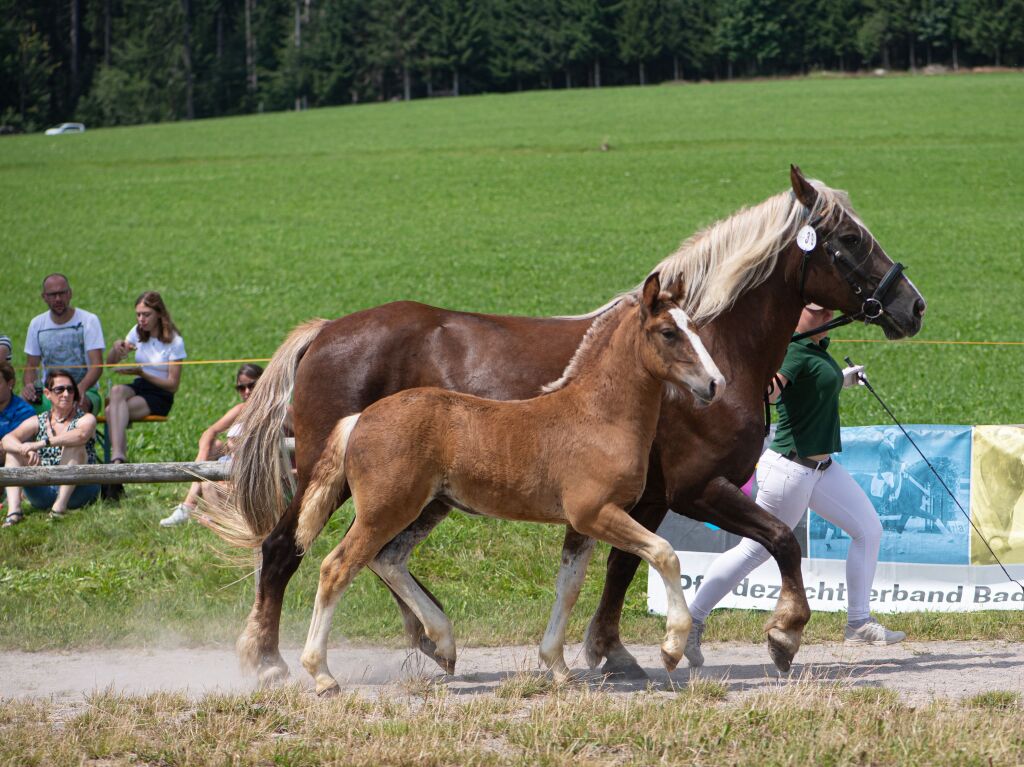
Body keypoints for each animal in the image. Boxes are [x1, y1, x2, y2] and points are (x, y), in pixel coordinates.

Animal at [292, 272, 724, 692]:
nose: (715, 384)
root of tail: (359, 419)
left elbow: (568, 587)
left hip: (425, 506)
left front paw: (557, 667)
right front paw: (671, 649)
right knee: (338, 567)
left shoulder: (581, 526)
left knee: (389, 559)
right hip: (385, 510)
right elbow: (665, 553)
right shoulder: (595, 514)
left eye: (695, 326)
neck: (599, 416)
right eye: (668, 332)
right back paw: (322, 675)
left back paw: (444, 644)